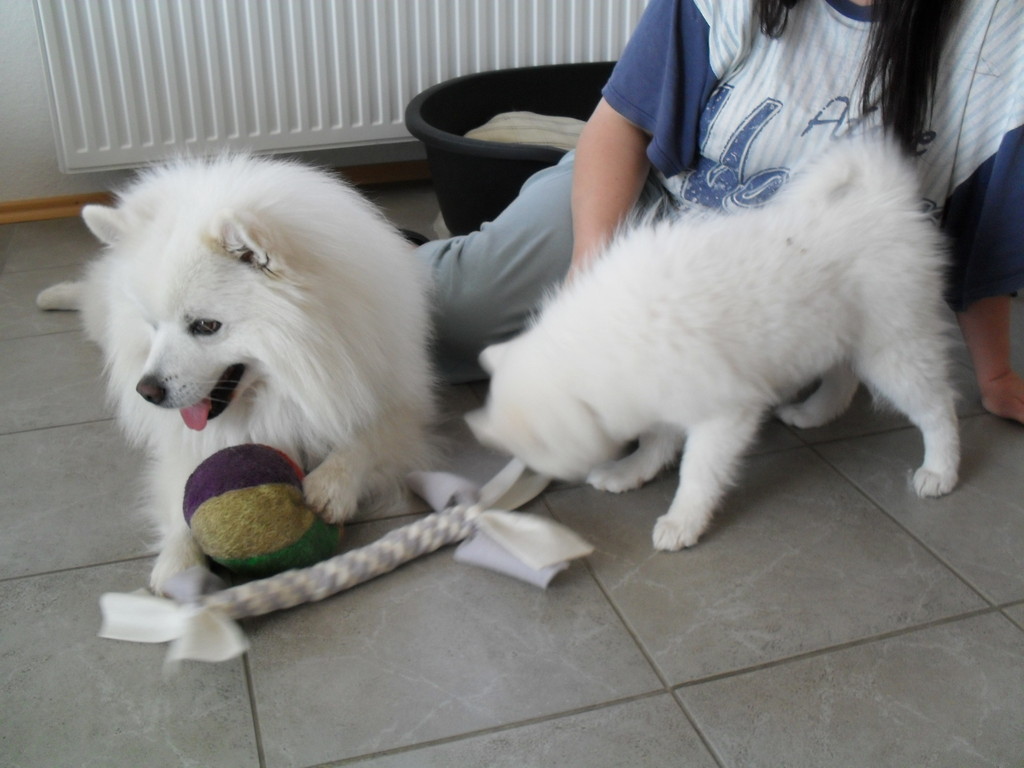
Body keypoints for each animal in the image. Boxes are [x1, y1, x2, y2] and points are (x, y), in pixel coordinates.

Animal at [38, 155, 435, 592]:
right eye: (152, 324)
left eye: (206, 326)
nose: (146, 391)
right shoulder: (186, 442)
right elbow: (184, 493)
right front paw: (177, 564)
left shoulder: (398, 399)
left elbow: (367, 436)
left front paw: (332, 485)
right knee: (88, 295)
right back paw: (53, 295)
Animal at [467, 139, 960, 551]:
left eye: (537, 453)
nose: (528, 480)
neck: (608, 342)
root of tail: (886, 199)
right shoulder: (662, 394)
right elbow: (657, 440)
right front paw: (632, 472)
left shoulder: (725, 413)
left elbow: (697, 471)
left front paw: (682, 522)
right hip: (838, 332)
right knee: (842, 379)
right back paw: (812, 413)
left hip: (894, 347)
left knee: (937, 408)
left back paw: (940, 470)